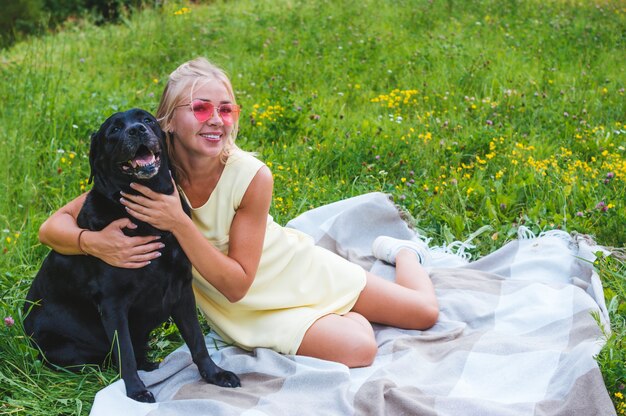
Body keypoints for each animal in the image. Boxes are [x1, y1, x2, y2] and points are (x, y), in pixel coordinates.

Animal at [23, 108, 239, 404]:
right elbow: (123, 351)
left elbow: (197, 341)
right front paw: (135, 391)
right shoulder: (113, 304)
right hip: (62, 345)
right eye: (114, 129)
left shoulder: (182, 290)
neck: (146, 218)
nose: (136, 130)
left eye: (146, 119)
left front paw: (215, 374)